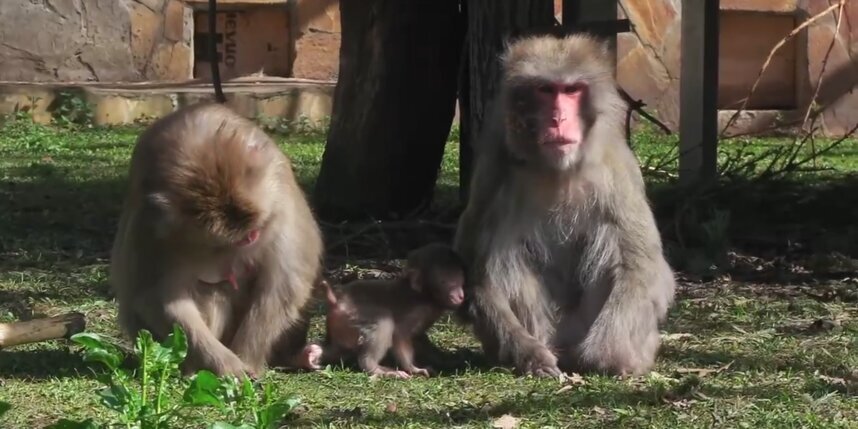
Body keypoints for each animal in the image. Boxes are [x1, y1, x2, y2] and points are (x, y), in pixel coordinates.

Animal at [107, 102, 320, 376]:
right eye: (238, 239)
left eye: (254, 231)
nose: (251, 238)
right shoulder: (149, 223)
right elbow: (154, 297)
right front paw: (229, 365)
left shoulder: (281, 199)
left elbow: (283, 285)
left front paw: (247, 360)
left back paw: (298, 356)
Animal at [308, 244, 464, 378]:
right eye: (445, 282)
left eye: (460, 279)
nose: (460, 295)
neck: (425, 296)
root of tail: (336, 301)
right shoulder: (418, 310)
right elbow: (400, 333)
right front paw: (413, 368)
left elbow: (419, 336)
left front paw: (444, 359)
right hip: (351, 315)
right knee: (383, 321)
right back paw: (374, 367)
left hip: (340, 326)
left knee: (339, 348)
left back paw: (313, 354)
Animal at [454, 35, 676, 376]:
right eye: (546, 90)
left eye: (572, 90)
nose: (558, 118)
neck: (558, 170)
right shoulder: (493, 169)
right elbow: (475, 271)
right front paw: (530, 355)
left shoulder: (617, 170)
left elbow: (641, 264)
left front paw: (603, 356)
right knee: (502, 253)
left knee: (609, 242)